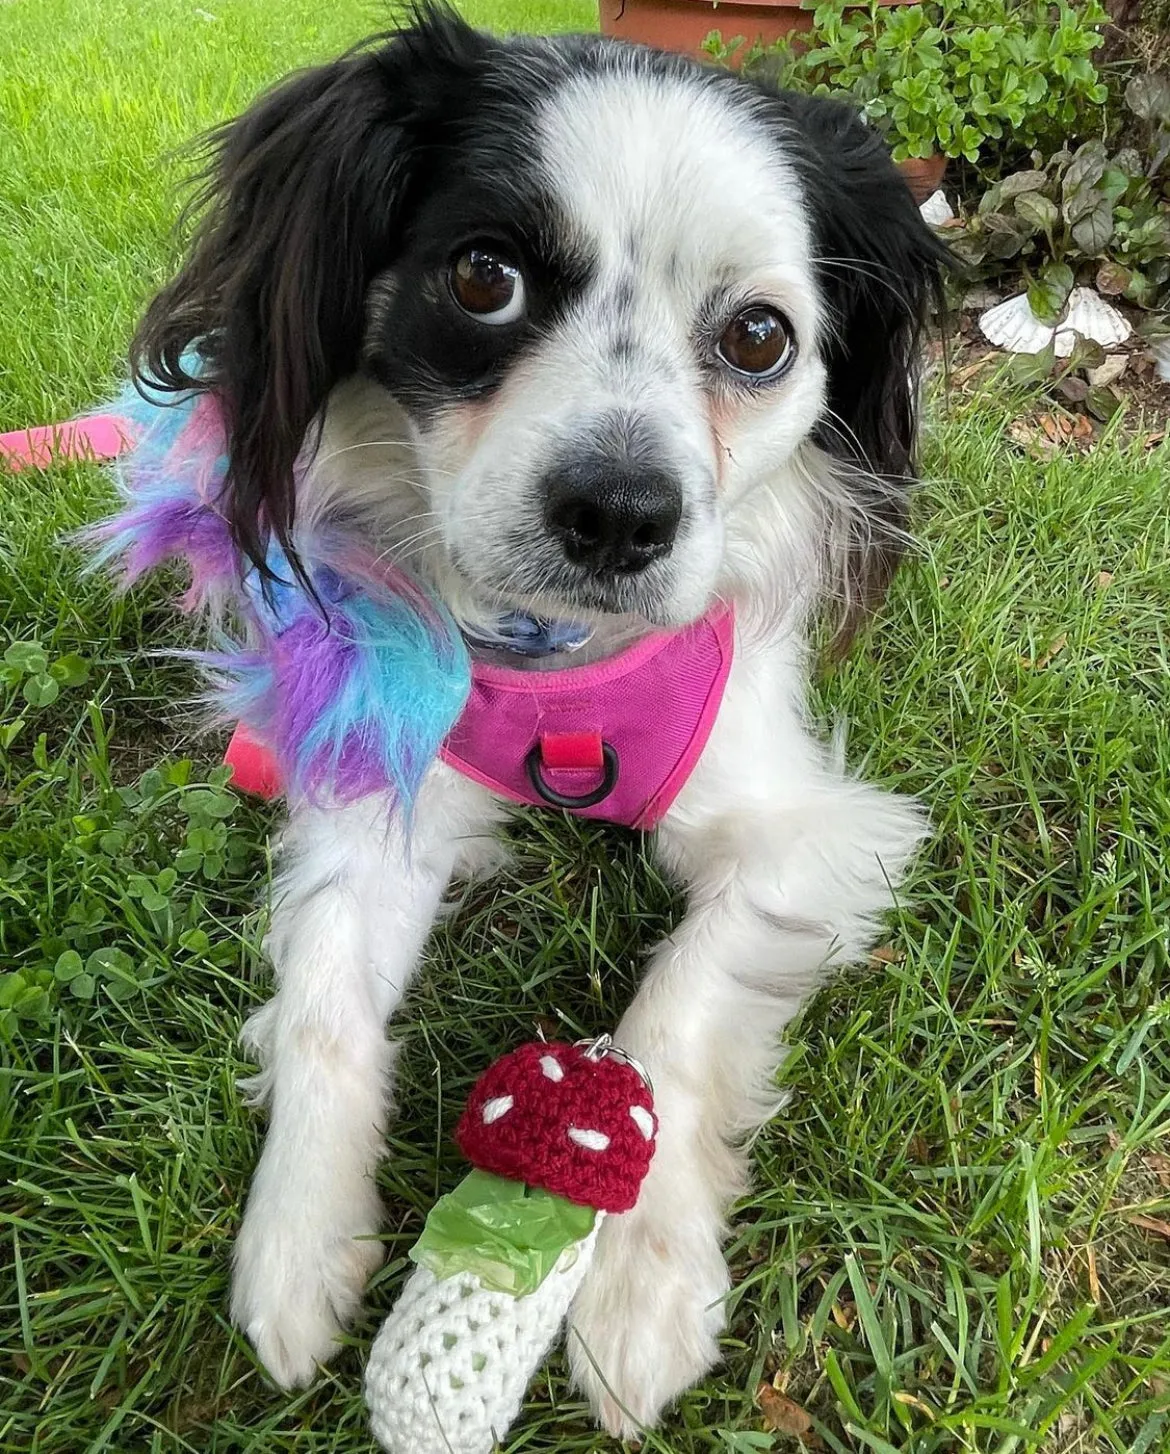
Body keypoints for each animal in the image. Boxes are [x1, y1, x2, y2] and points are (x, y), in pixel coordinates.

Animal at [123, 5, 947, 1436]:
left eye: (760, 339)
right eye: (482, 277)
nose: (620, 512)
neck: (564, 665)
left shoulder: (811, 831)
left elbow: (679, 1003)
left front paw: (638, 1289)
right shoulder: (384, 789)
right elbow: (325, 989)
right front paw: (296, 1240)